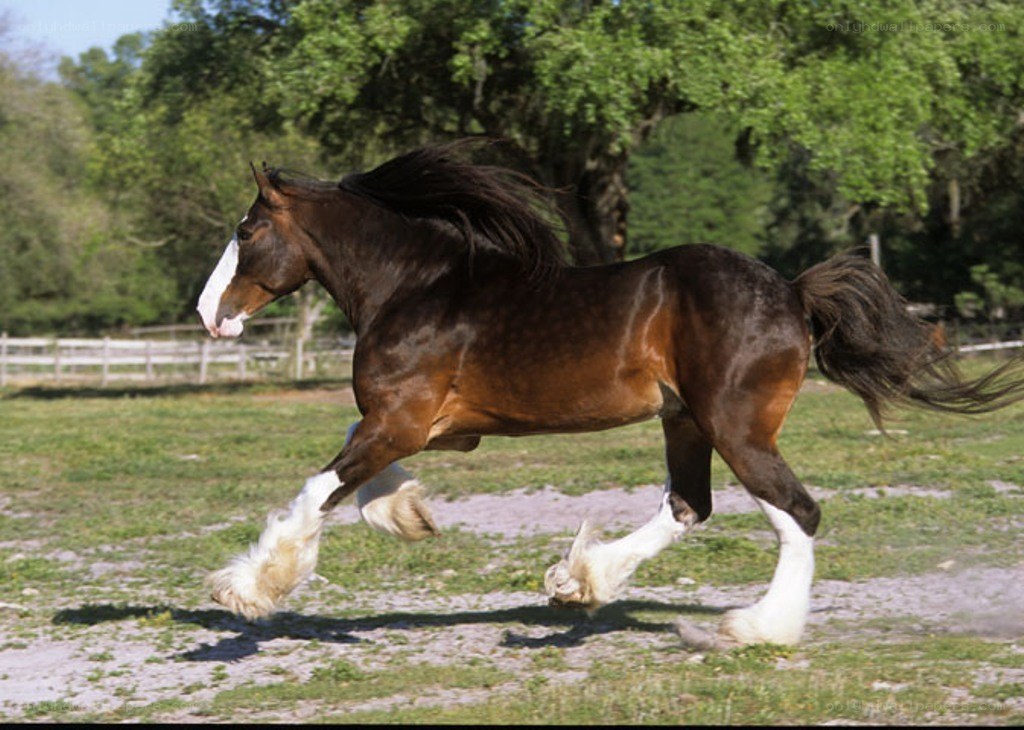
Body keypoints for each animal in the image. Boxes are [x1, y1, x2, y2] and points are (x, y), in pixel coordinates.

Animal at [196, 142, 1024, 646]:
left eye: (247, 229)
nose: (210, 315)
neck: (418, 286)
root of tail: (792, 292)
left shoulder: (402, 418)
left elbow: (319, 487)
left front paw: (245, 588)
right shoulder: (430, 425)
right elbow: (351, 471)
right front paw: (407, 514)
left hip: (735, 426)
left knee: (796, 511)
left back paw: (754, 629)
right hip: (686, 421)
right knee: (689, 506)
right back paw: (578, 582)